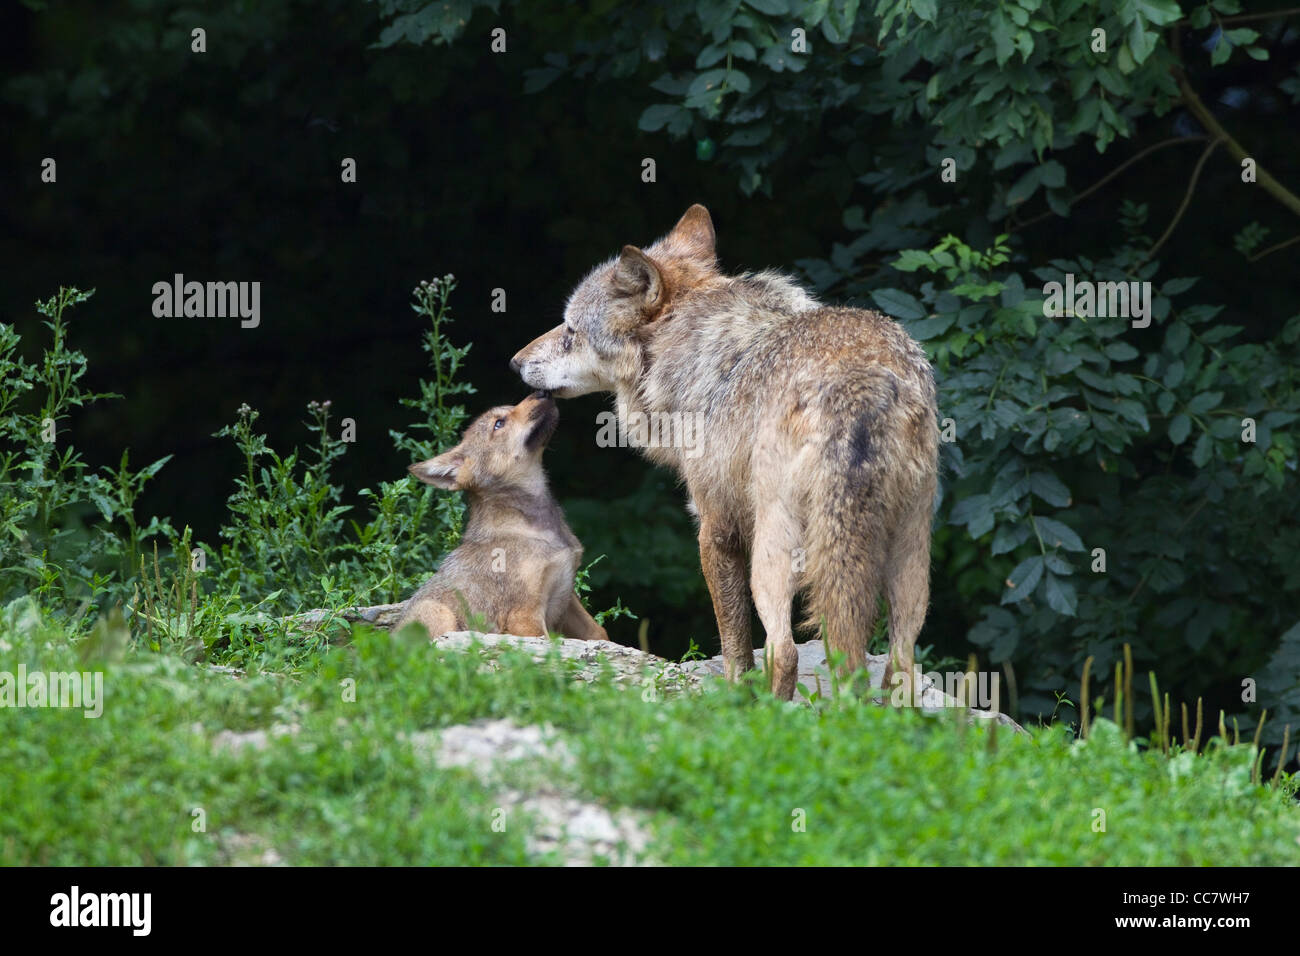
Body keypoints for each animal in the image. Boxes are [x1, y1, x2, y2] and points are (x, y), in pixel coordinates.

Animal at [506, 208, 935, 702]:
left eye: (571, 330)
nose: (515, 362)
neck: (687, 350)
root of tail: (861, 379)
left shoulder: (715, 529)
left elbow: (735, 647)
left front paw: (733, 699)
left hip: (775, 551)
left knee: (785, 652)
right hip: (909, 555)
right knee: (900, 663)